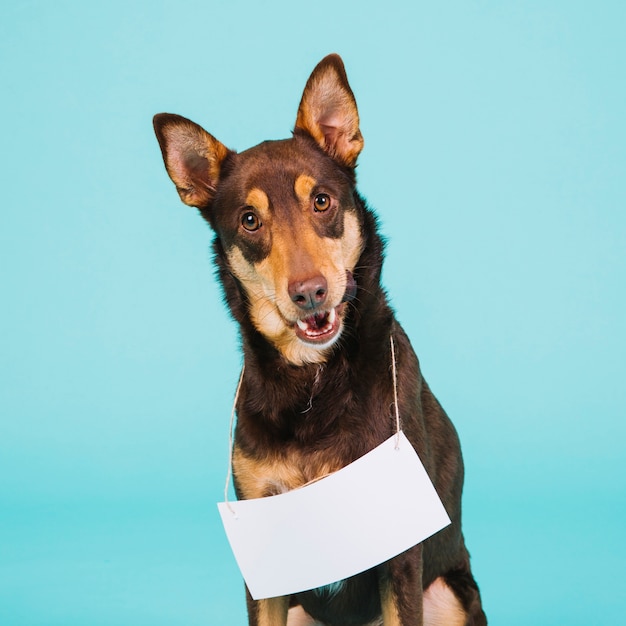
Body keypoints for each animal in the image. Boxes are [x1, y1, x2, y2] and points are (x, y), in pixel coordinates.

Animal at [154, 52, 486, 624]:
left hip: (448, 593)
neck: (312, 382)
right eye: (249, 220)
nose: (309, 292)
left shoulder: (400, 551)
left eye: (322, 201)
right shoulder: (264, 554)